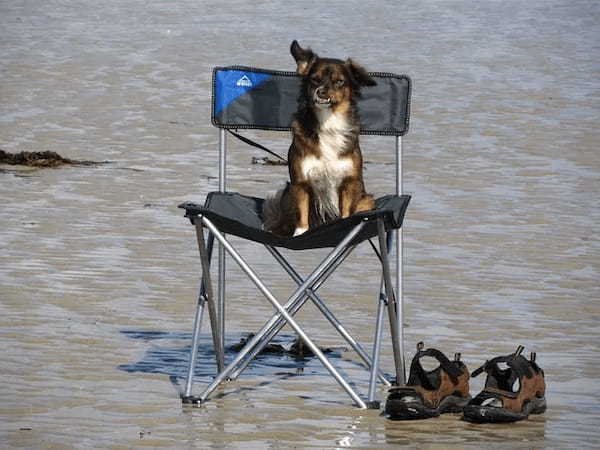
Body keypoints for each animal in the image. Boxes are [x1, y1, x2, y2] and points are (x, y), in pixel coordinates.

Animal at [264, 42, 376, 237]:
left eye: (339, 81)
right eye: (315, 80)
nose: (321, 92)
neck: (328, 122)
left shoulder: (349, 182)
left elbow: (346, 213)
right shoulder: (300, 182)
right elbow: (302, 214)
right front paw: (299, 234)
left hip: (367, 200)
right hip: (286, 195)